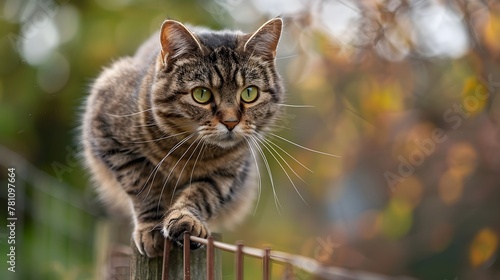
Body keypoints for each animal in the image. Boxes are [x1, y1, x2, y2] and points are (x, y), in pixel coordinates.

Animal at [82, 18, 286, 258]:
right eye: (201, 94)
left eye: (249, 93)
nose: (230, 122)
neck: (188, 150)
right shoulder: (110, 137)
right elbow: (144, 186)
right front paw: (150, 228)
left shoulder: (225, 175)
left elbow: (201, 195)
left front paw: (185, 219)